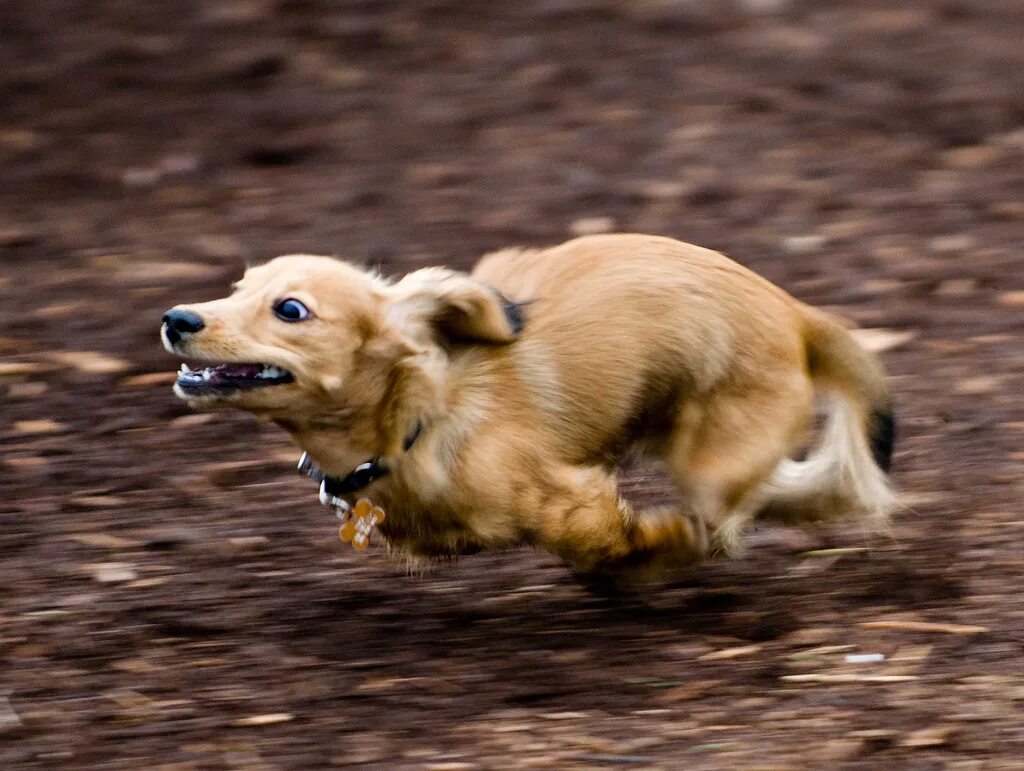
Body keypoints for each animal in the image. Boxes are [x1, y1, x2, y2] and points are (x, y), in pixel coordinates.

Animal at [161, 233, 897, 581]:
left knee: (761, 497)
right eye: (238, 288)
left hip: (710, 460)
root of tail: (795, 313)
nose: (176, 317)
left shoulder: (572, 499)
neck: (418, 418)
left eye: (290, 309)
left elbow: (613, 541)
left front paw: (656, 554)